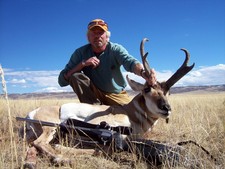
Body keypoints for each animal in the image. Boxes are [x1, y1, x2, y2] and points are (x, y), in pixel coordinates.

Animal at [18, 38, 193, 168]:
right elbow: (106, 147)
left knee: (31, 145)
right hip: (51, 127)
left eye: (168, 92)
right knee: (40, 143)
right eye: (147, 89)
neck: (130, 112)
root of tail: (33, 112)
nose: (166, 108)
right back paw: (61, 158)